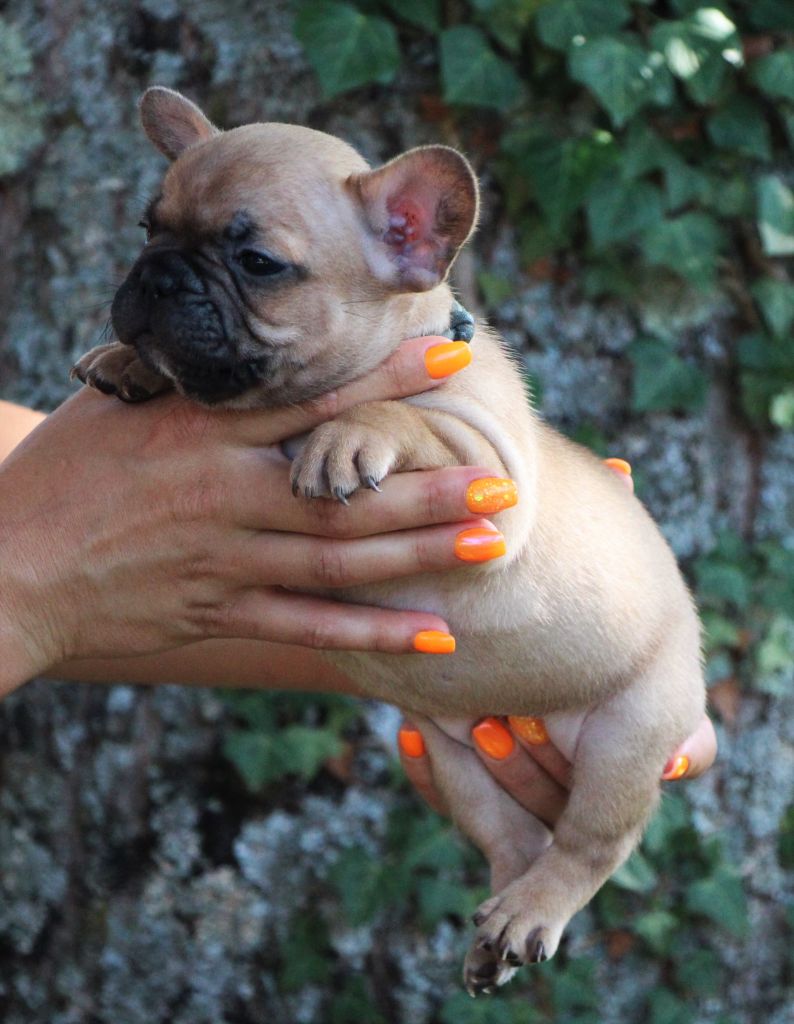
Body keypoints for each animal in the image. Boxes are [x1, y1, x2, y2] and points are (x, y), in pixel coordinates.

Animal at [73, 87, 705, 994]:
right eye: (144, 226)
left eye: (258, 261)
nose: (157, 275)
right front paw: (130, 362)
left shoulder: (487, 476)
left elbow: (397, 416)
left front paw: (347, 434)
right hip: (448, 749)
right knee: (507, 835)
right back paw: (494, 928)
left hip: (630, 734)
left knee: (591, 844)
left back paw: (533, 908)